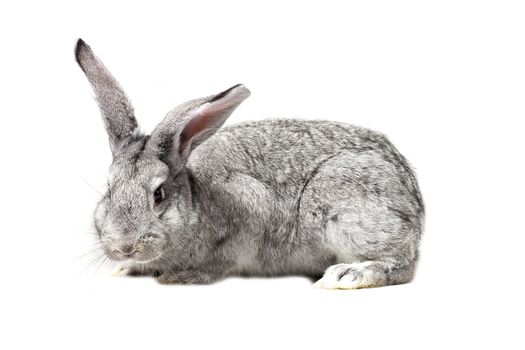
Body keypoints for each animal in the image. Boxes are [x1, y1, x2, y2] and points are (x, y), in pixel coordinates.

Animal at [77, 38, 422, 290]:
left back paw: (347, 275)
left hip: (347, 206)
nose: (125, 246)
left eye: (158, 194)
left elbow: (222, 261)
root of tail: (416, 206)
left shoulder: (251, 213)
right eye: (109, 189)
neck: (196, 198)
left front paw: (184, 276)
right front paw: (127, 269)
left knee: (402, 265)